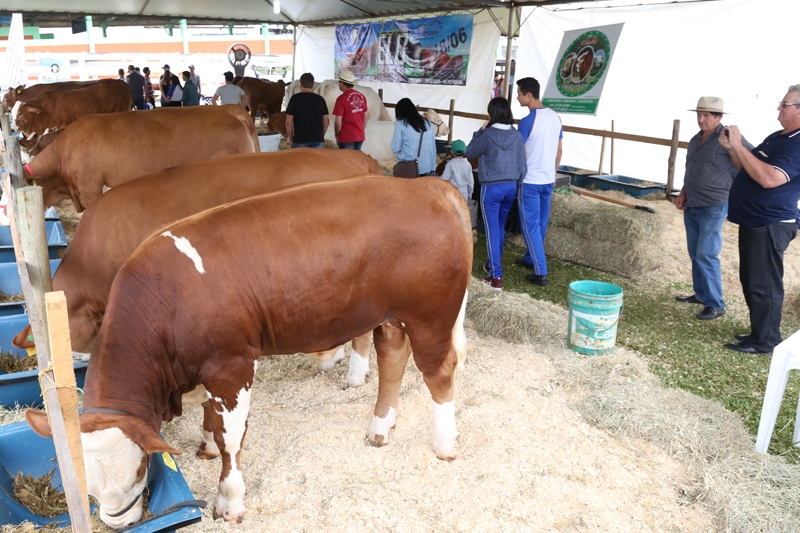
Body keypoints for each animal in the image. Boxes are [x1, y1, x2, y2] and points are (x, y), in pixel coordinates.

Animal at [26, 176, 476, 528]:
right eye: (84, 479)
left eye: (140, 466)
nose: (118, 521)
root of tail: (428, 186)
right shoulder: (204, 369)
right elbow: (211, 419)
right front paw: (206, 444)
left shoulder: (231, 366)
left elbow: (232, 439)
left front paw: (229, 500)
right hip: (390, 318)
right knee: (393, 360)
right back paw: (380, 428)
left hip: (430, 317)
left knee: (439, 373)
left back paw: (445, 444)